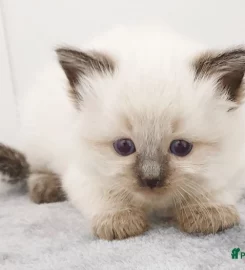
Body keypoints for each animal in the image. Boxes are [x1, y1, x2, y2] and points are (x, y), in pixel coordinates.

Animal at [0, 25, 245, 239]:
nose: (151, 180)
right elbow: (107, 197)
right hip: (37, 139)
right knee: (35, 167)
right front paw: (120, 220)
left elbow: (212, 188)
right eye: (124, 147)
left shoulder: (234, 168)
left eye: (181, 147)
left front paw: (208, 212)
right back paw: (45, 187)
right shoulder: (84, 174)